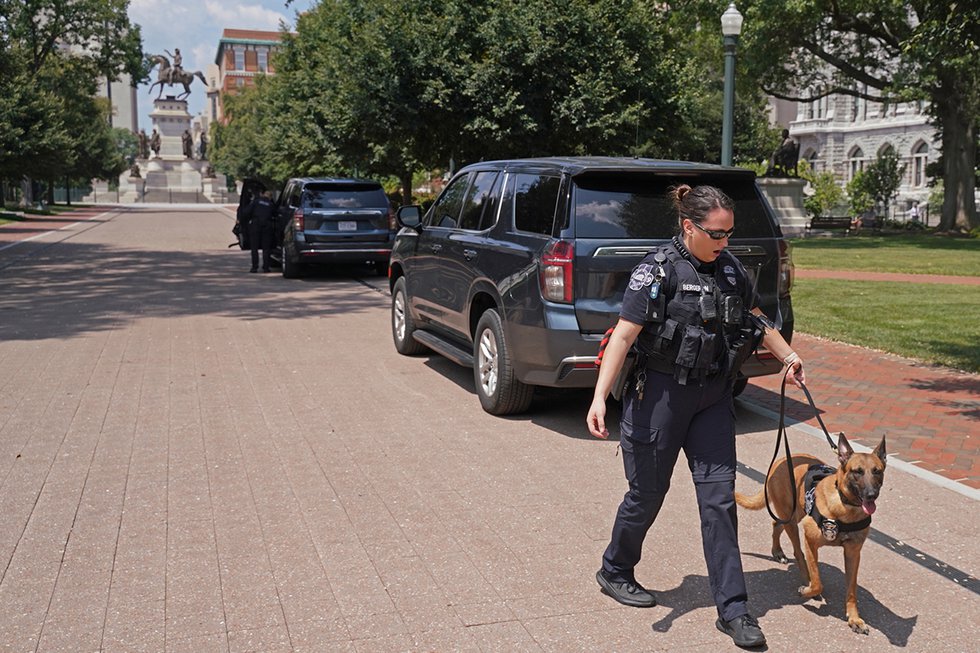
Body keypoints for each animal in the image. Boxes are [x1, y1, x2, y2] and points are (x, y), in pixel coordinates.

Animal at [736, 432, 888, 632]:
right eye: (858, 471)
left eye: (877, 471)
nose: (871, 495)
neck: (845, 507)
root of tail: (780, 461)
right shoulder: (810, 541)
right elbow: (817, 581)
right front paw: (809, 590)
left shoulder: (853, 554)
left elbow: (851, 590)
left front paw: (854, 618)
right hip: (793, 521)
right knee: (797, 552)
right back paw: (802, 578)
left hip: (793, 515)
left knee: (776, 523)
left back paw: (777, 551)